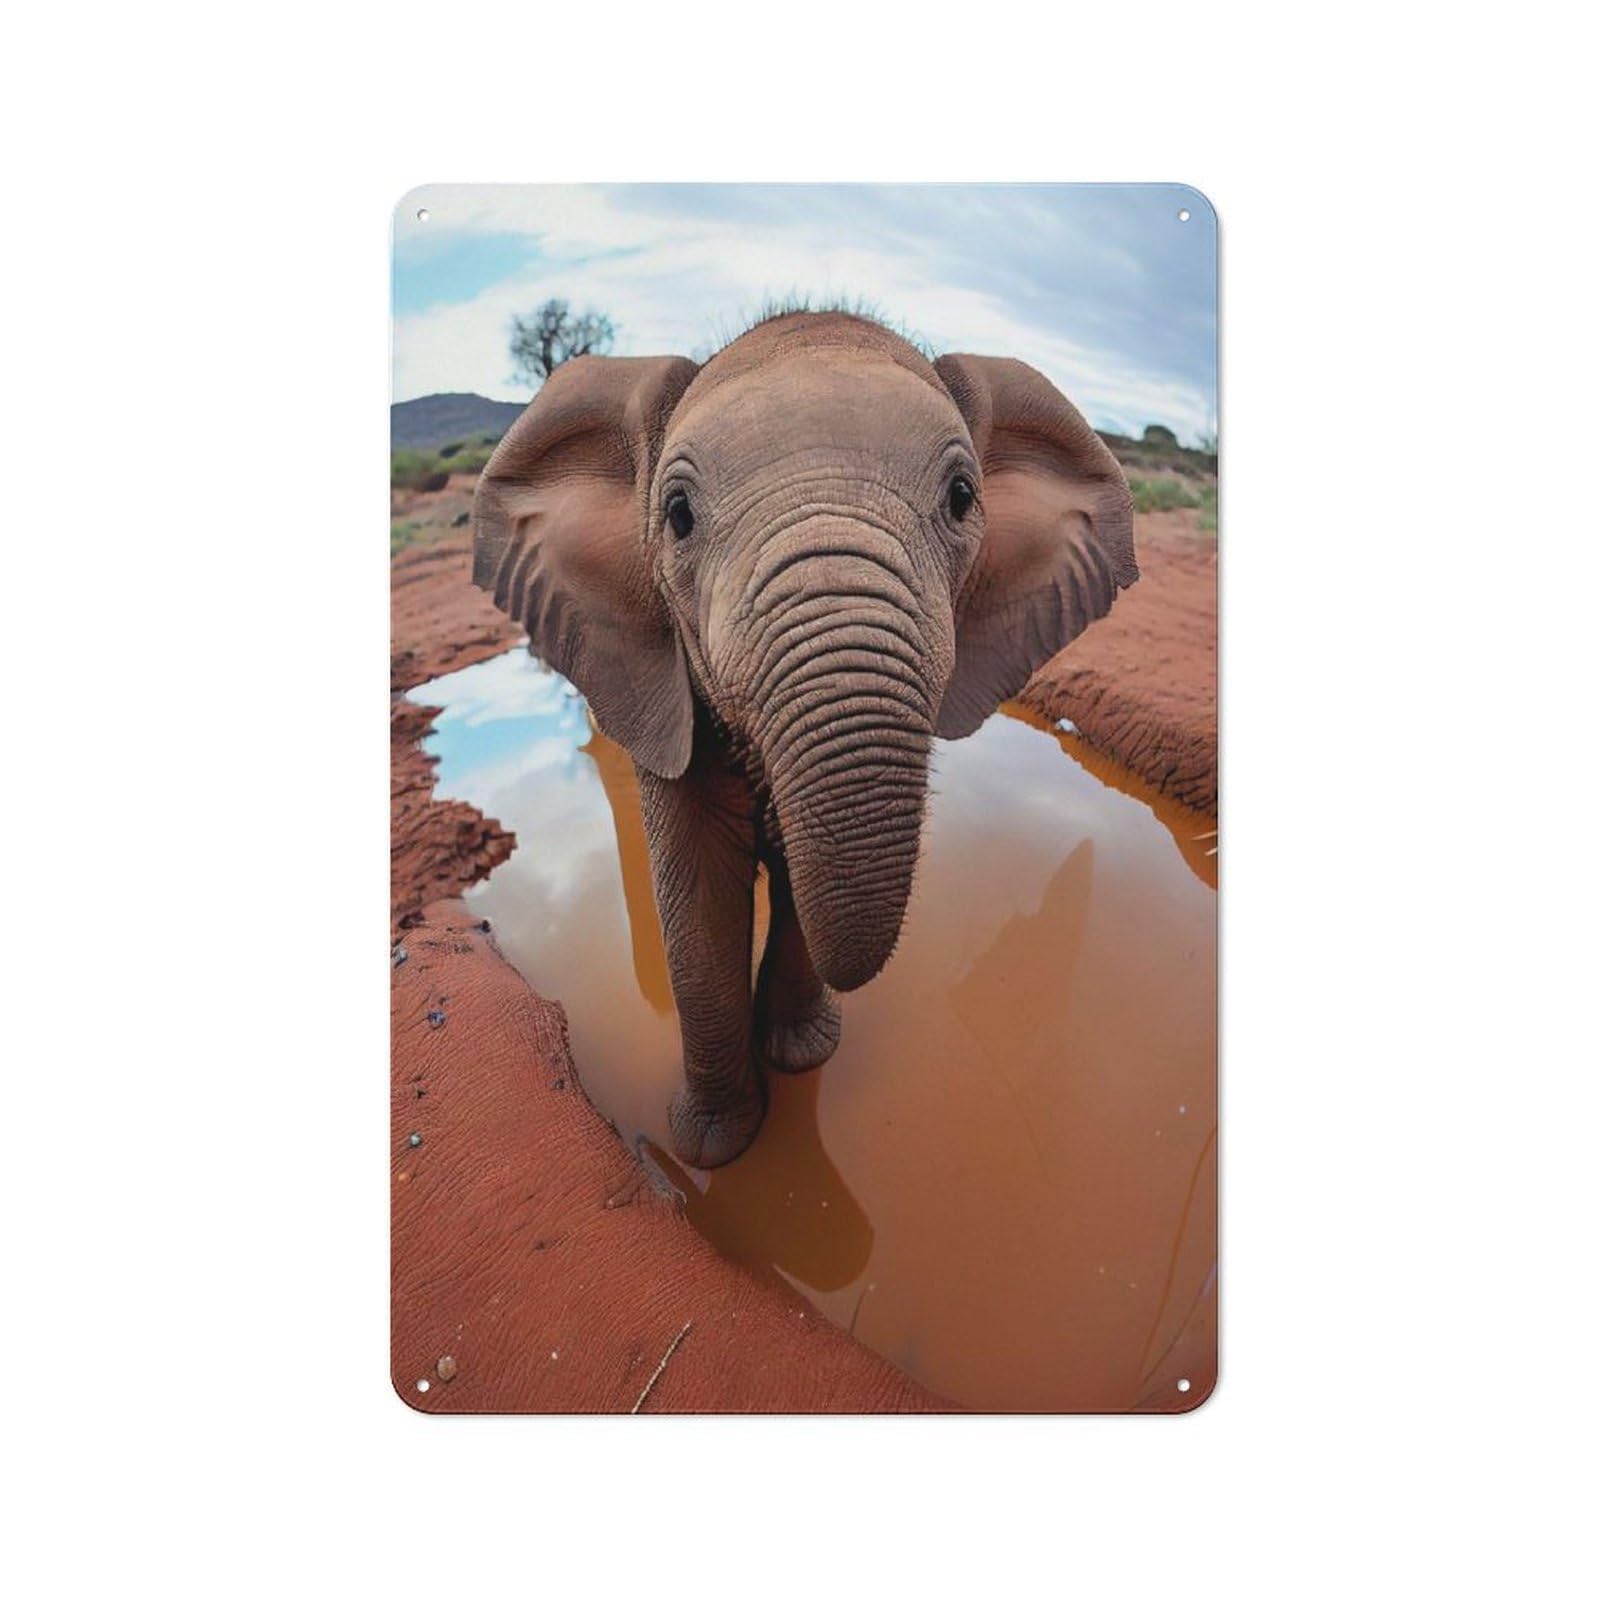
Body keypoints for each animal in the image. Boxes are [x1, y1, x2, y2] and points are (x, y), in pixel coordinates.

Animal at [472, 310, 1136, 1167]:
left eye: (962, 499)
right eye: (677, 516)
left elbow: (794, 878)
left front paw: (797, 1058)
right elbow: (697, 893)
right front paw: (715, 1150)